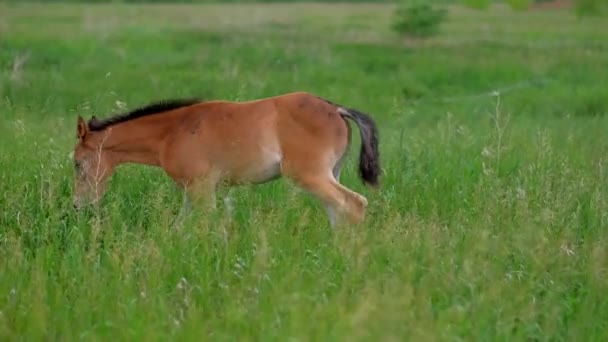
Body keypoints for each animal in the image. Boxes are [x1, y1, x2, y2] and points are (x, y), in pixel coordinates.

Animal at [73, 91, 380, 227]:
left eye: (77, 163)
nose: (78, 205)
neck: (173, 131)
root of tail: (336, 109)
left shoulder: (202, 187)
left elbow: (207, 223)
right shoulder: (191, 190)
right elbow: (180, 226)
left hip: (309, 175)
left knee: (353, 203)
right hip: (329, 173)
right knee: (337, 210)